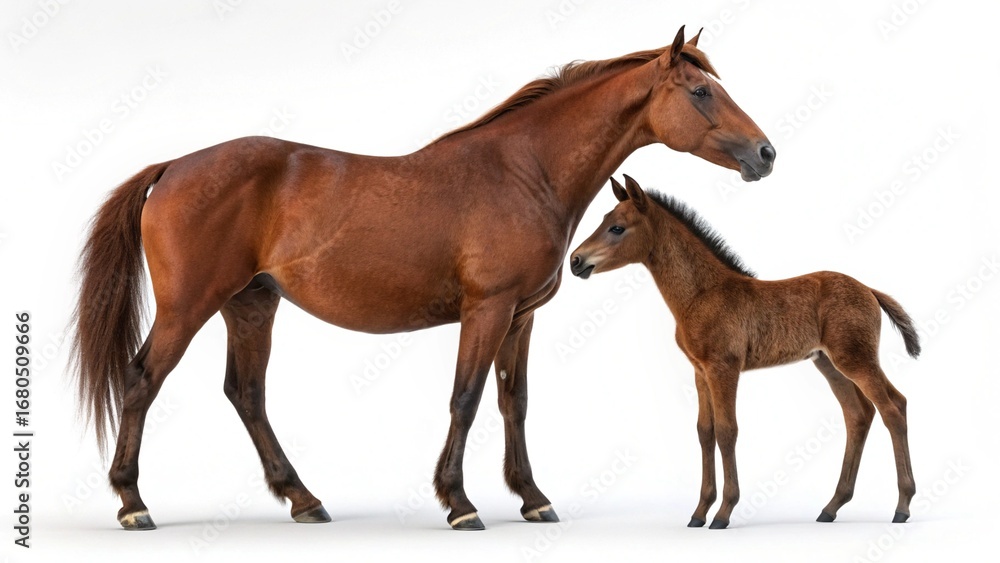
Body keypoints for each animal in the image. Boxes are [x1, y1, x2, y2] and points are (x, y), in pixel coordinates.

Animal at [71, 26, 775, 531]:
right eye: (701, 91)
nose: (765, 153)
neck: (525, 170)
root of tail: (173, 166)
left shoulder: (521, 316)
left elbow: (514, 403)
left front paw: (532, 498)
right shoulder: (487, 310)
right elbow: (465, 398)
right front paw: (459, 503)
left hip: (251, 305)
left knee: (246, 394)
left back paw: (304, 499)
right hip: (188, 307)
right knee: (142, 381)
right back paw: (133, 504)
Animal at [570, 175, 918, 529]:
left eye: (617, 228)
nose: (576, 261)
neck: (701, 293)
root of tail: (870, 291)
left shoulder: (724, 368)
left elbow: (727, 431)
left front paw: (723, 512)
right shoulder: (700, 371)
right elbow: (705, 432)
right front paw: (699, 513)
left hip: (856, 359)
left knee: (893, 408)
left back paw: (902, 507)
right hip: (829, 364)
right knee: (859, 414)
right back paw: (831, 507)